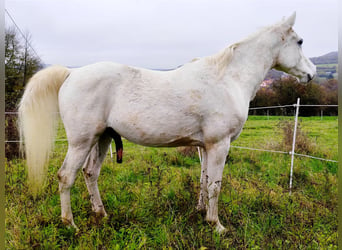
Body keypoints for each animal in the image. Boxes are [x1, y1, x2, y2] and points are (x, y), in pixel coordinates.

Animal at [18, 12, 316, 232]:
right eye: (300, 41)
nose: (312, 73)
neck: (228, 78)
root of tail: (71, 73)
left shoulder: (205, 146)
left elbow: (203, 179)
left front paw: (201, 213)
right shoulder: (220, 144)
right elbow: (215, 185)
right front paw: (216, 225)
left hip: (101, 138)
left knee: (90, 174)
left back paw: (101, 214)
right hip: (81, 142)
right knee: (66, 177)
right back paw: (70, 224)